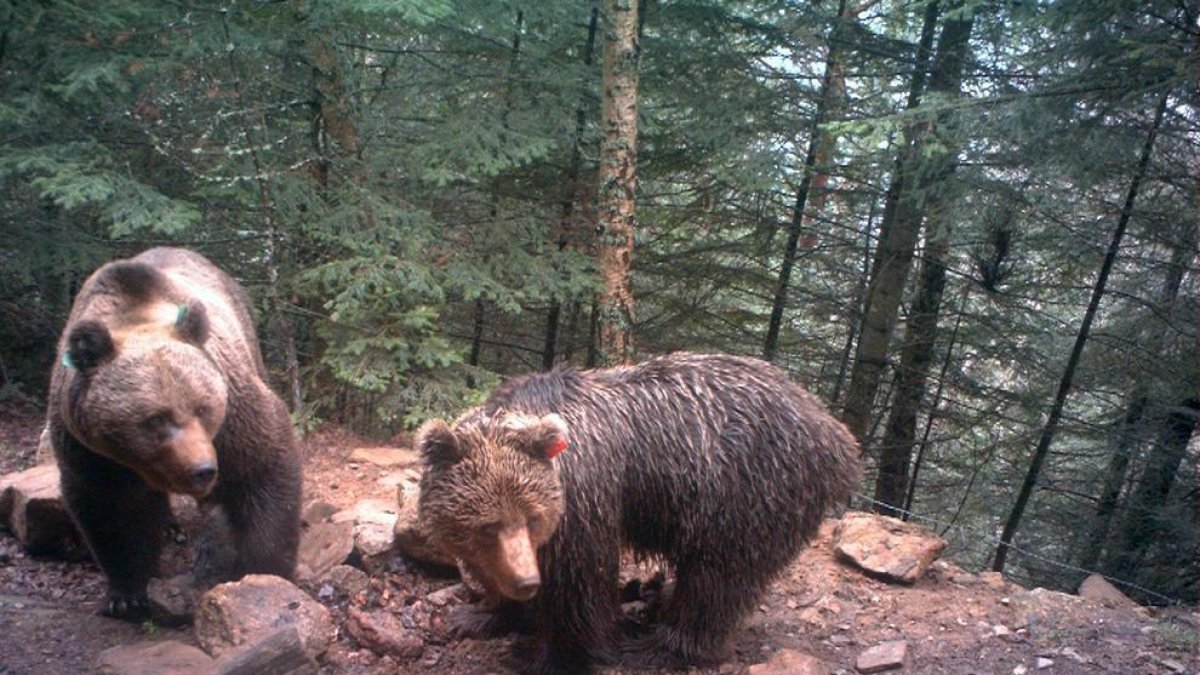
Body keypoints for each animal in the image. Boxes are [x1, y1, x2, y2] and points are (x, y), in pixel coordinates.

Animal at [47, 246, 302, 614]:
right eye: (156, 418)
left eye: (203, 407)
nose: (203, 470)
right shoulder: (91, 452)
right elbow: (112, 509)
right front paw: (127, 594)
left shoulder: (233, 419)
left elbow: (262, 467)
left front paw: (267, 572)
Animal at [417, 353, 859, 672]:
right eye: (487, 526)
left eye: (534, 518)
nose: (527, 582)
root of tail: (836, 433)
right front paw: (481, 614)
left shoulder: (583, 506)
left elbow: (578, 587)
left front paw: (543, 654)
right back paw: (657, 598)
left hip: (743, 494)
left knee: (717, 578)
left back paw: (656, 643)